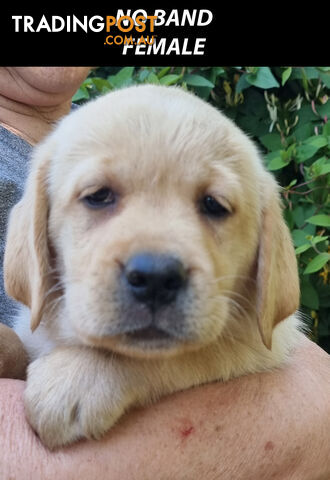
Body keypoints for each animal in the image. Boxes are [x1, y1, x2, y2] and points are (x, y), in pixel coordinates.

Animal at [3, 85, 304, 450]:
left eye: (213, 205)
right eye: (98, 196)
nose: (156, 278)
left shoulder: (257, 347)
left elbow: (194, 354)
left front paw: (78, 373)